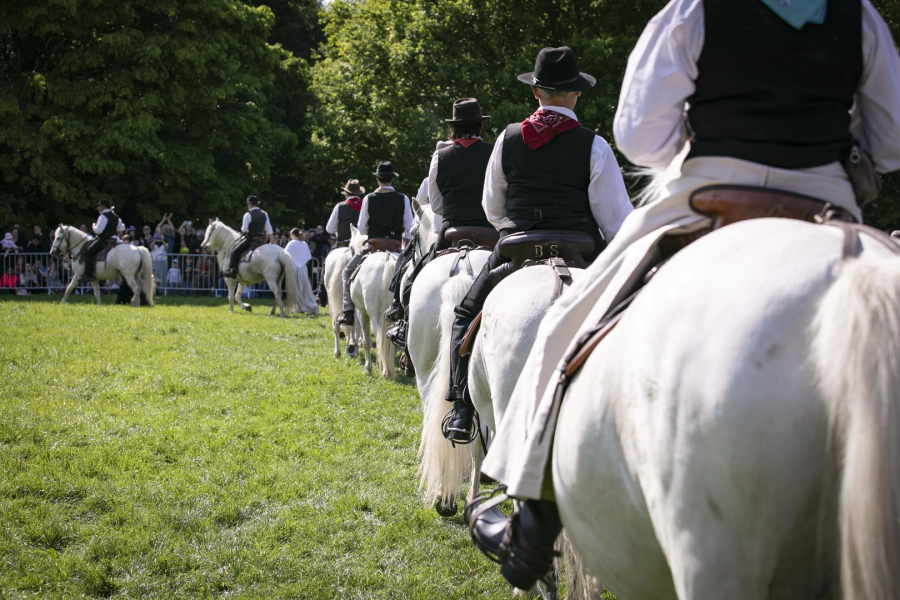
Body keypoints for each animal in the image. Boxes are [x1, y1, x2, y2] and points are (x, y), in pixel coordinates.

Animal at [348, 227, 398, 378]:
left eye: (351, 247)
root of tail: (387, 260)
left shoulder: (361, 312)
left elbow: (366, 341)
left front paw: (368, 368)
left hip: (374, 315)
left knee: (380, 336)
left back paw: (385, 371)